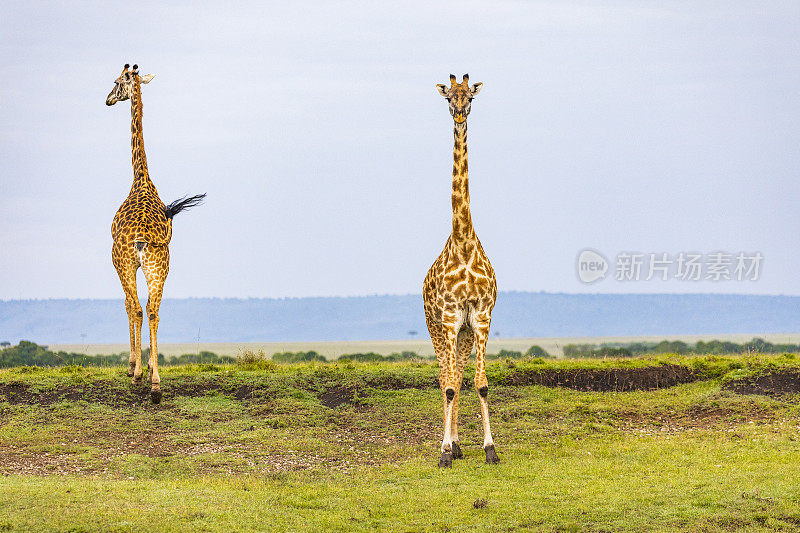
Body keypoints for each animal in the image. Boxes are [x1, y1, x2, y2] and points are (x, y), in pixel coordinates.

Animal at [105, 63, 206, 404]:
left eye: (116, 83)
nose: (107, 99)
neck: (141, 178)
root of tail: (143, 240)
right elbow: (145, 308)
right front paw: (147, 369)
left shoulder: (117, 261)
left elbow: (127, 305)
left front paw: (133, 367)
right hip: (159, 267)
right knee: (153, 311)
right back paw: (156, 384)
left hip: (129, 263)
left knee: (138, 308)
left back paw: (141, 377)